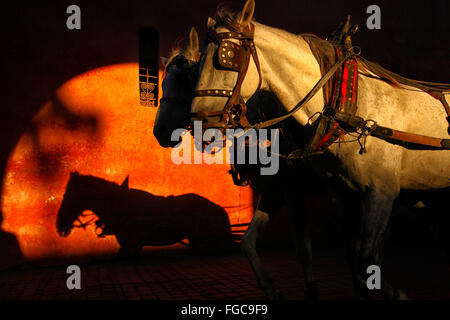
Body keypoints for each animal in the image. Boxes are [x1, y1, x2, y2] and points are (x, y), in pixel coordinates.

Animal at [192, 0, 448, 300]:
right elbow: (352, 261)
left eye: (226, 57)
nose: (199, 123)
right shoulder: (340, 195)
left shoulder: (379, 193)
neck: (348, 106)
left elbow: (362, 262)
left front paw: (396, 293)